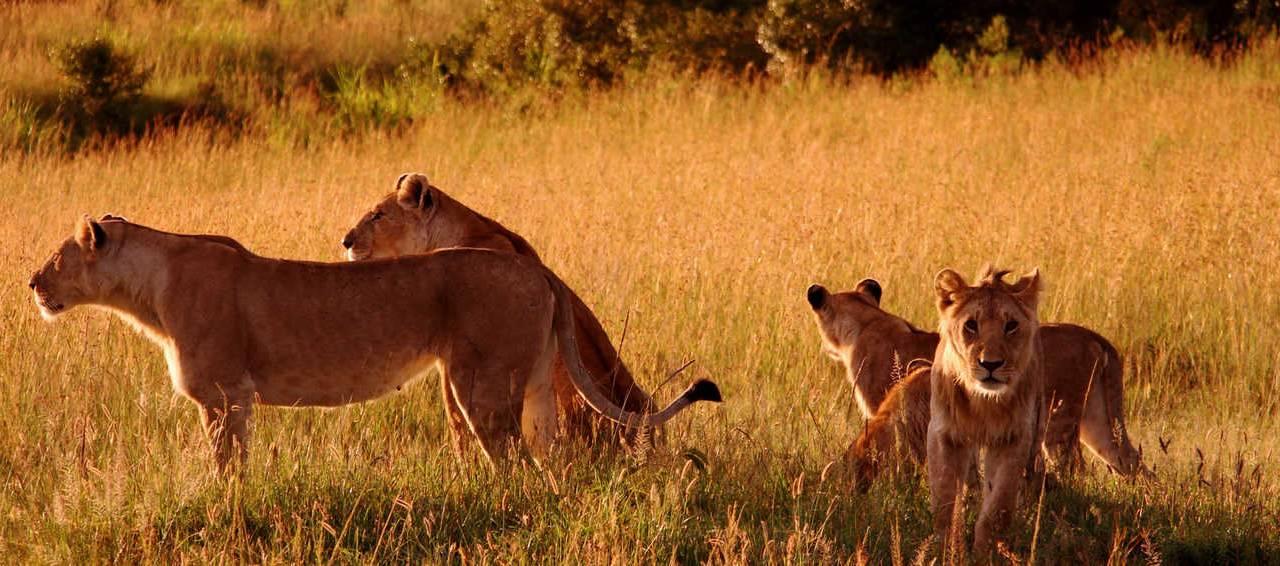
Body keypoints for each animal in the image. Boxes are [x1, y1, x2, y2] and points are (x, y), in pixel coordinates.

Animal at [27, 216, 721, 473]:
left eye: (59, 258)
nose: (33, 283)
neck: (147, 289)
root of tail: (537, 268)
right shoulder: (236, 400)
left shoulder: (224, 395)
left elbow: (225, 467)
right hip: (534, 386)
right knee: (547, 456)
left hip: (480, 384)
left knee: (512, 459)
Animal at [803, 280, 1146, 478]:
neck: (867, 320)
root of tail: (1096, 338)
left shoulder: (886, 409)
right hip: (1098, 424)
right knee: (1132, 462)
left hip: (1057, 426)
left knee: (1075, 470)